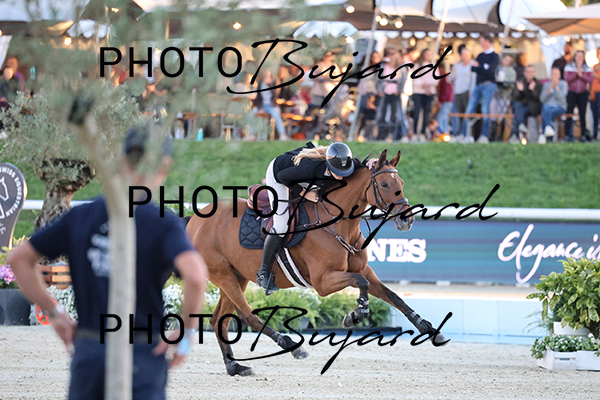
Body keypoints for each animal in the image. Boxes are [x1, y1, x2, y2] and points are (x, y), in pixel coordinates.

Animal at [186, 149, 448, 376]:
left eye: (400, 183)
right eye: (384, 184)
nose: (407, 220)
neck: (339, 224)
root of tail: (195, 220)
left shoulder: (364, 270)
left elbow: (393, 296)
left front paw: (430, 330)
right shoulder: (323, 282)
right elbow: (360, 283)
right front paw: (356, 314)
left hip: (237, 276)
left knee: (219, 319)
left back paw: (235, 366)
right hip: (223, 275)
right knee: (246, 314)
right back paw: (290, 345)